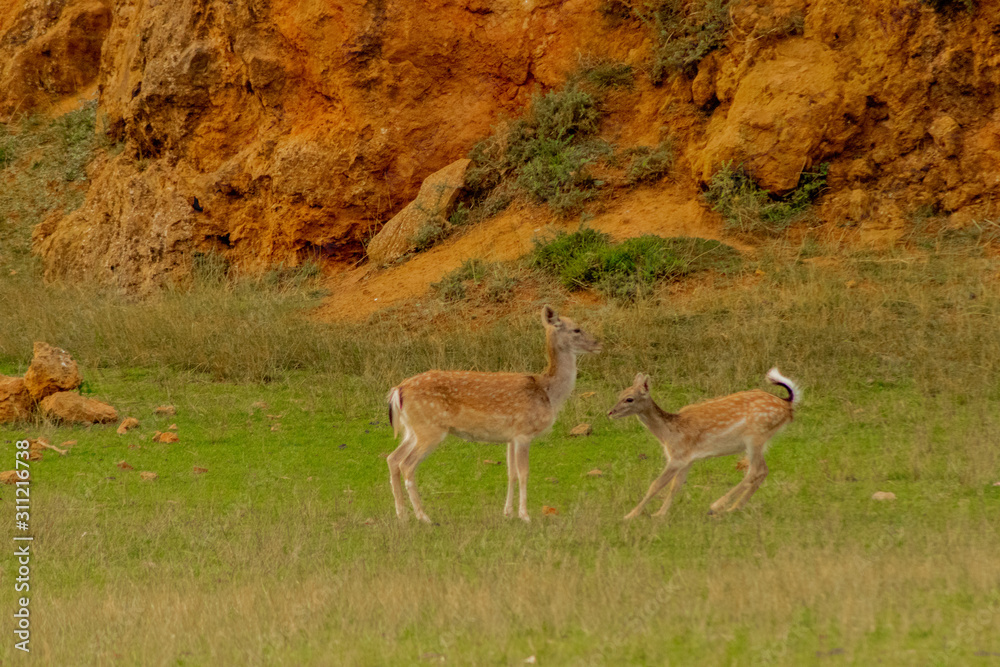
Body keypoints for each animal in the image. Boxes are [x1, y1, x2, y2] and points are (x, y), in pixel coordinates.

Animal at [386, 305, 601, 523]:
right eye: (576, 329)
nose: (598, 344)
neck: (548, 392)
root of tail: (398, 390)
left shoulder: (511, 437)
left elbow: (511, 473)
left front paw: (508, 513)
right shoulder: (523, 432)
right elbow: (524, 473)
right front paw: (525, 515)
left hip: (412, 429)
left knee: (393, 459)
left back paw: (402, 515)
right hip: (429, 429)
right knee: (407, 465)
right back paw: (424, 517)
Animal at [607, 368, 800, 520]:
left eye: (629, 399)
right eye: (620, 394)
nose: (610, 413)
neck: (668, 433)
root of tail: (787, 404)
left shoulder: (677, 456)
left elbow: (656, 485)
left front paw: (630, 515)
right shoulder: (686, 459)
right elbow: (675, 486)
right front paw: (660, 514)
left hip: (755, 437)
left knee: (755, 471)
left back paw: (717, 506)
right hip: (760, 440)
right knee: (763, 470)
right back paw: (734, 507)